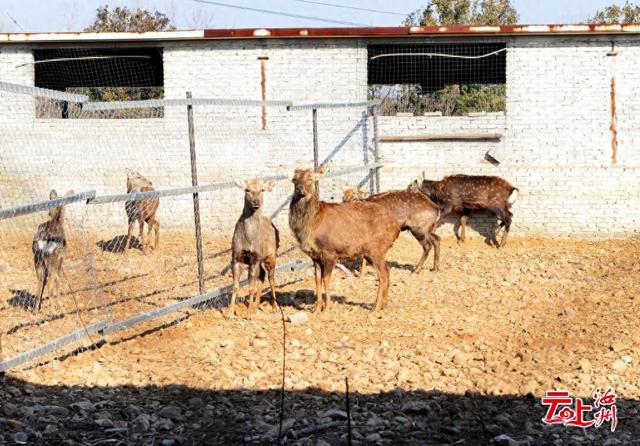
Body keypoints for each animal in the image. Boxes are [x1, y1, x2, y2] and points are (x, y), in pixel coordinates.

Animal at [230, 178, 280, 318]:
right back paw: (256, 306)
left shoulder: (255, 258)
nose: (256, 201)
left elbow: (251, 287)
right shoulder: (236, 257)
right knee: (262, 275)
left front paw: (248, 314)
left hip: (271, 256)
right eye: (247, 189)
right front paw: (230, 313)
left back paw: (274, 306)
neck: (248, 240)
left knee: (271, 278)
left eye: (262, 189)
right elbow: (235, 286)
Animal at [290, 169, 400, 312]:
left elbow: (326, 279)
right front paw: (316, 308)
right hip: (374, 251)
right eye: (294, 179)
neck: (312, 226)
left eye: (310, 179)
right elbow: (317, 280)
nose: (299, 188)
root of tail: (396, 226)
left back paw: (375, 307)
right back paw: (384, 304)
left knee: (382, 275)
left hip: (376, 248)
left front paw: (327, 307)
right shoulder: (315, 256)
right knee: (388, 270)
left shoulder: (330, 252)